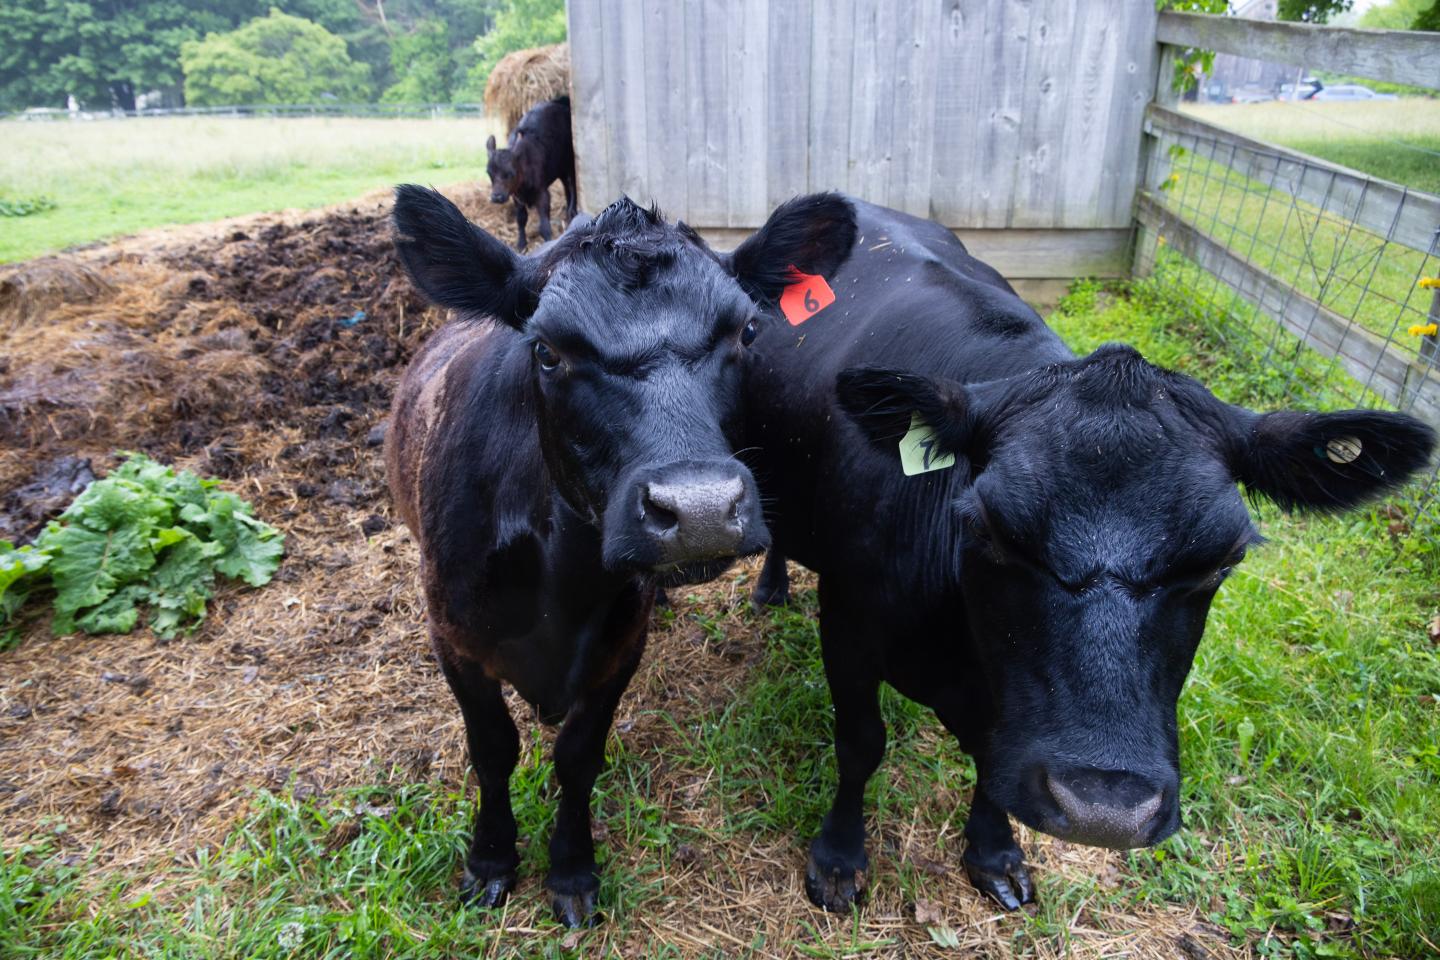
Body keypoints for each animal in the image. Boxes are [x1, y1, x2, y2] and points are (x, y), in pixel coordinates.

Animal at [483, 94, 573, 247]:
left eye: (510, 173)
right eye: (489, 173)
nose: (497, 197)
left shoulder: (543, 193)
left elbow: (544, 225)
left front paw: (549, 241)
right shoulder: (516, 196)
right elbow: (521, 219)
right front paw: (521, 243)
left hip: (570, 163)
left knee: (573, 186)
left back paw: (573, 212)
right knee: (567, 187)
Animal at [737, 195, 1434, 915]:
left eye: (1221, 560)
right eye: (991, 528)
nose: (1107, 810)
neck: (957, 651)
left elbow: (989, 760)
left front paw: (995, 853)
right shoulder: (848, 626)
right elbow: (860, 744)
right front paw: (839, 859)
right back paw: (770, 587)